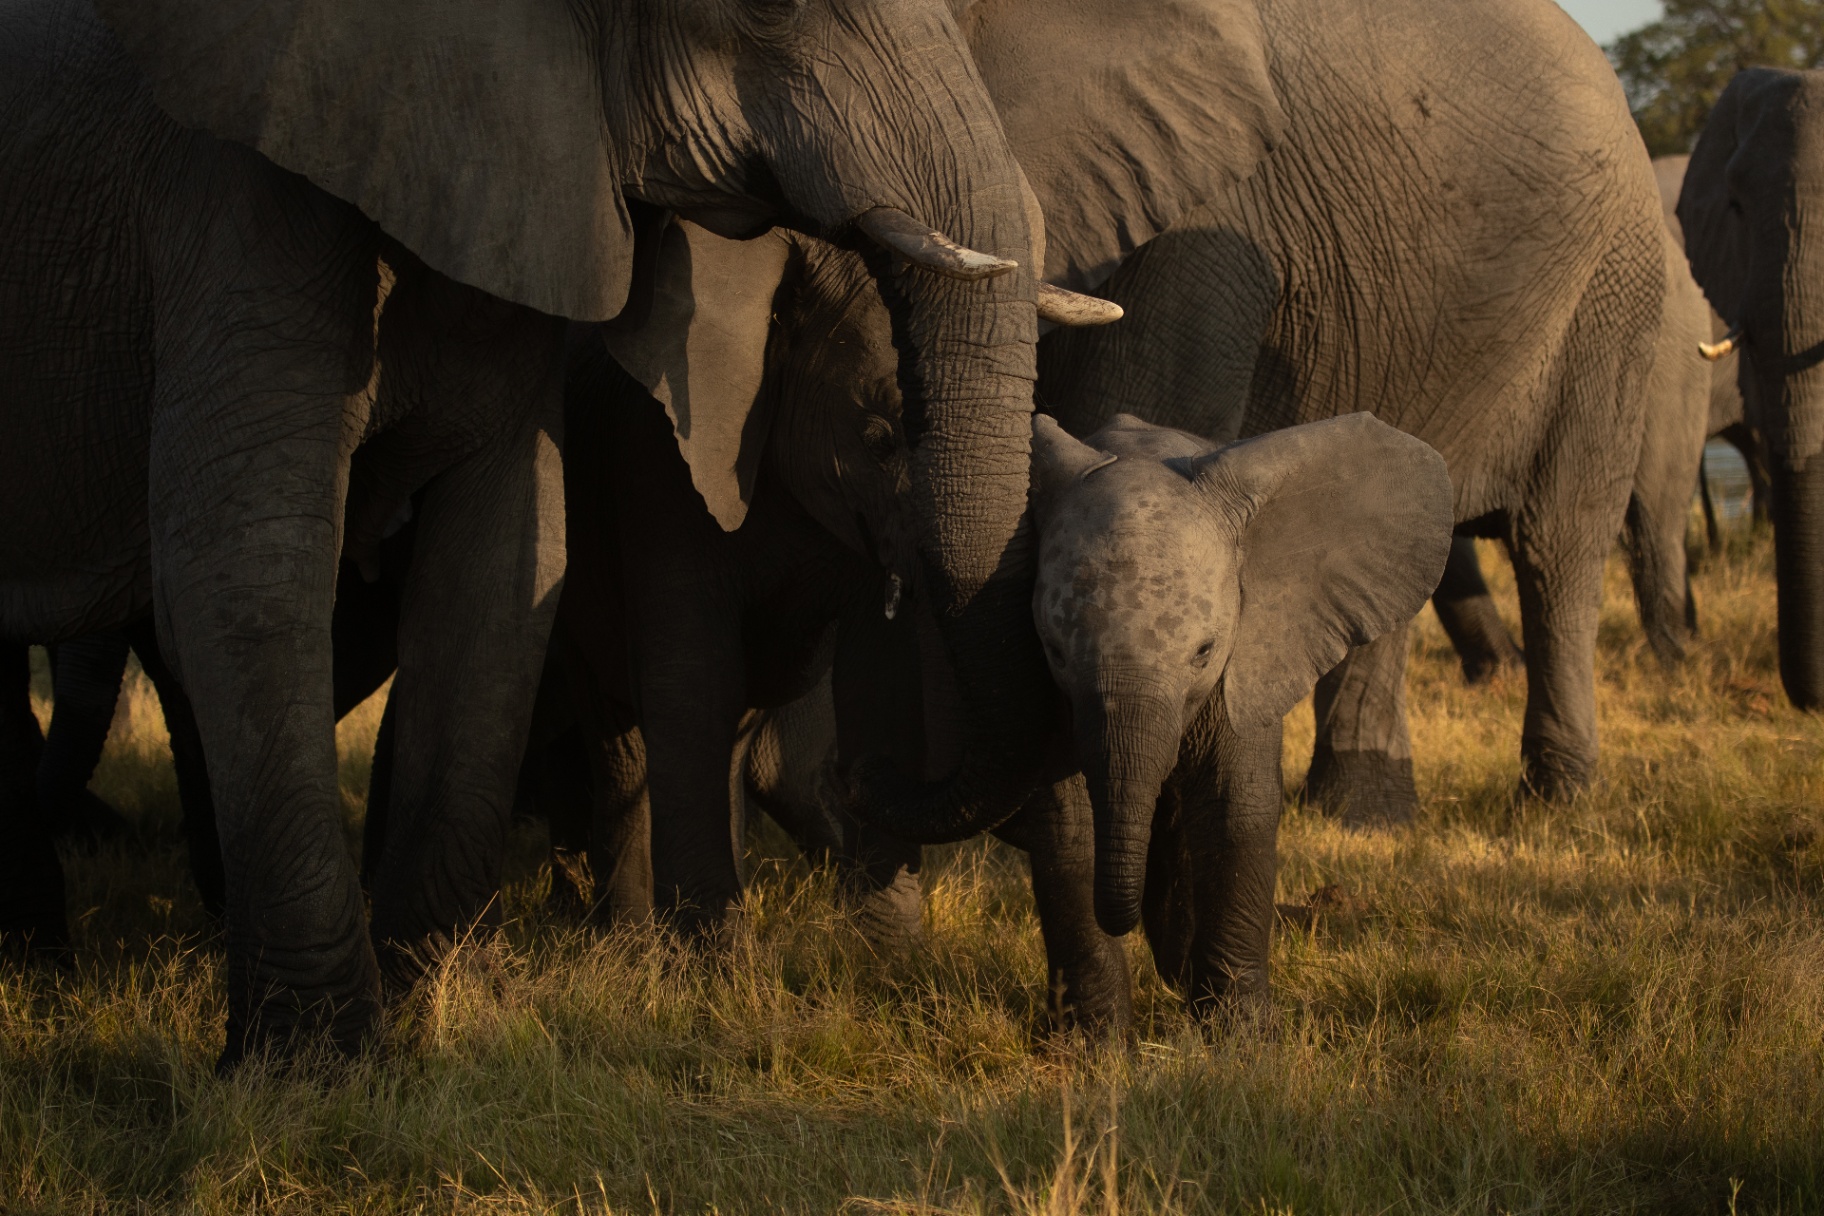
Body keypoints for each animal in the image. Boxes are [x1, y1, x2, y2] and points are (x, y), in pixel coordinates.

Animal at [1, 0, 1119, 1063]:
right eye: (770, 7)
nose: (867, 781)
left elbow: (502, 563)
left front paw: (442, 1015)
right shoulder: (231, 190)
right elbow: (251, 569)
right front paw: (317, 1063)